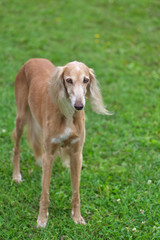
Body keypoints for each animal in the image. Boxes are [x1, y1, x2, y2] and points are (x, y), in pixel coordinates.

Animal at [11, 58, 110, 227]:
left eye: (86, 80)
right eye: (69, 80)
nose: (79, 106)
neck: (68, 114)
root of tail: (33, 59)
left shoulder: (77, 154)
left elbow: (76, 192)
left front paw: (77, 217)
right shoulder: (49, 154)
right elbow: (45, 192)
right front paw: (42, 219)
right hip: (21, 117)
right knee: (16, 148)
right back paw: (16, 176)